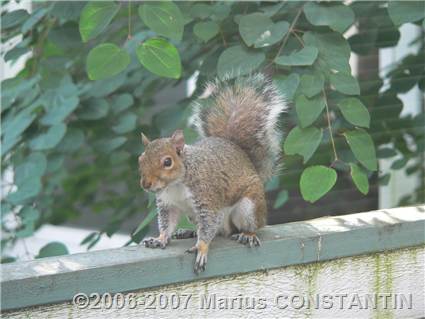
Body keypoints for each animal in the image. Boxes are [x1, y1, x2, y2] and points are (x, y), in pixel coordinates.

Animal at [137, 74, 286, 274]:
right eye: (140, 159)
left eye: (167, 162)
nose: (145, 184)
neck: (175, 185)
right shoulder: (168, 204)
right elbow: (167, 223)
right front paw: (160, 239)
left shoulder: (207, 197)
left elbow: (209, 224)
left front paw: (201, 248)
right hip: (193, 215)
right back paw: (188, 232)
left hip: (249, 207)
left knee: (250, 225)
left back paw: (248, 234)